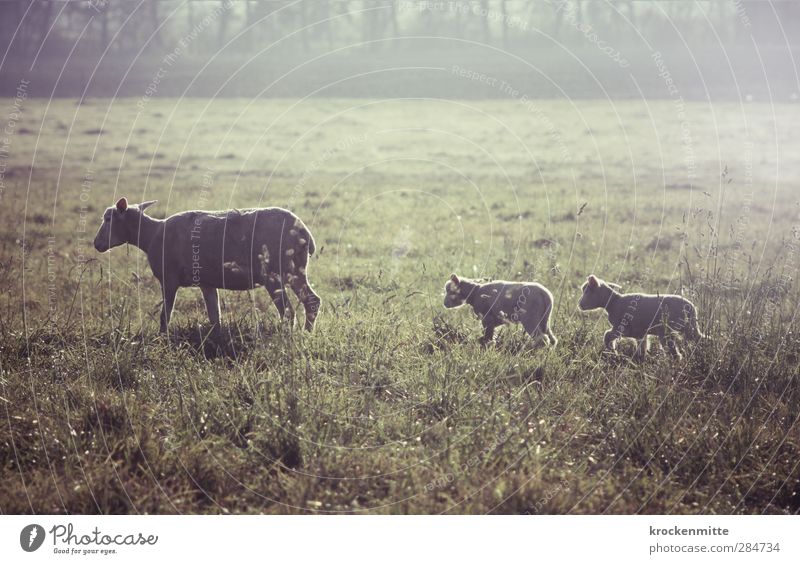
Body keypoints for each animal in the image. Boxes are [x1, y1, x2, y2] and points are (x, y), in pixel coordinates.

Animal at [92, 196, 320, 332]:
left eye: (108, 218)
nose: (96, 244)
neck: (151, 235)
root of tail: (304, 233)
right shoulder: (206, 282)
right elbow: (214, 316)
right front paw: (215, 337)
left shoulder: (169, 279)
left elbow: (165, 315)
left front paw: (162, 338)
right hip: (296, 271)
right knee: (312, 301)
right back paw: (306, 333)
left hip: (273, 274)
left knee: (288, 312)